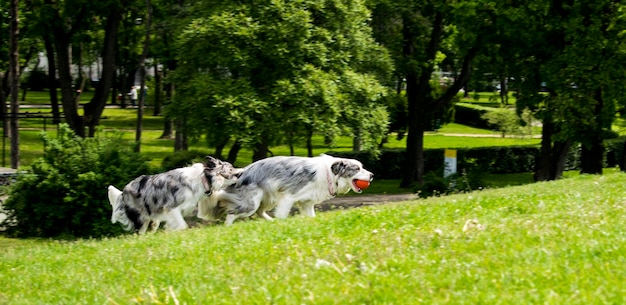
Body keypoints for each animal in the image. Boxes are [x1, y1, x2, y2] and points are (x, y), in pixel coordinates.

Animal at [107, 156, 239, 234]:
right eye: (231, 169)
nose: (240, 174)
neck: (203, 179)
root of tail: (123, 192)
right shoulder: (171, 208)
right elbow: (182, 225)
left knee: (152, 225)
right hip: (140, 217)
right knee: (139, 232)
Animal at [197, 153, 370, 224]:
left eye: (362, 167)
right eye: (357, 168)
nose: (372, 175)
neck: (329, 173)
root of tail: (240, 172)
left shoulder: (307, 203)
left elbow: (311, 216)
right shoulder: (288, 197)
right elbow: (283, 214)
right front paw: (281, 223)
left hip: (268, 199)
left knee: (260, 212)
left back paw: (270, 221)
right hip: (252, 203)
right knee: (232, 213)